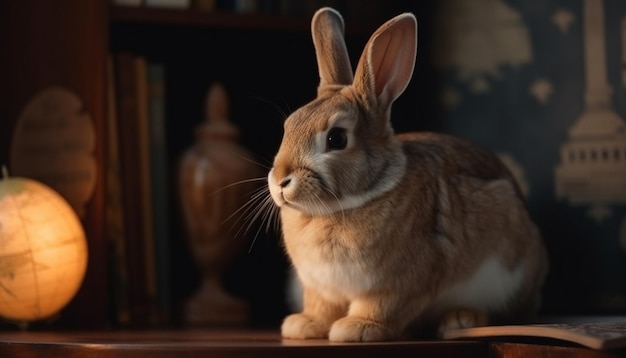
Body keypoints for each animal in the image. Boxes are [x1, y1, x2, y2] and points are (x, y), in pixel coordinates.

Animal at [266, 7, 548, 342]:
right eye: (288, 126)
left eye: (336, 139)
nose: (280, 180)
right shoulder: (319, 288)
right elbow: (321, 307)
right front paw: (304, 325)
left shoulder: (400, 283)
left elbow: (382, 306)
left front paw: (356, 329)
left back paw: (461, 319)